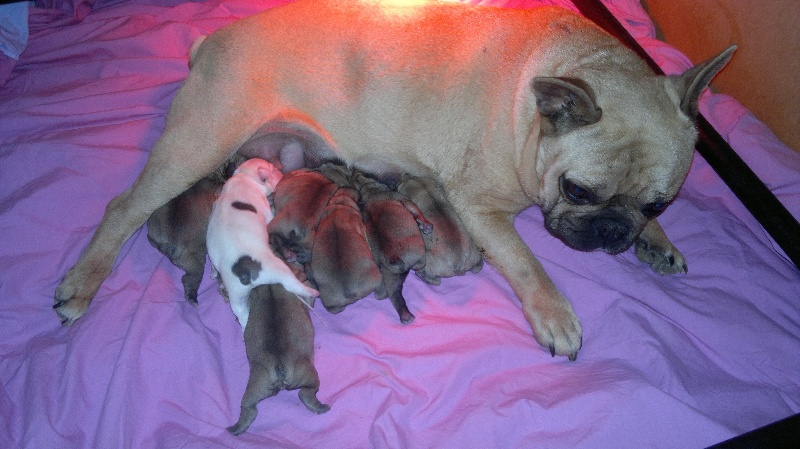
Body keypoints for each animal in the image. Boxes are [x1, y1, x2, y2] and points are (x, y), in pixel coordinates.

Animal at [206, 158, 318, 328]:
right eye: (273, 169)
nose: (282, 171)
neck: (245, 176)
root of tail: (246, 271)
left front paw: (212, 273)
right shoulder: (265, 209)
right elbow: (270, 215)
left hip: (235, 292)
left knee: (241, 312)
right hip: (279, 270)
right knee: (293, 285)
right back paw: (313, 292)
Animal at [227, 284, 330, 434]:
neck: (270, 286)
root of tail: (279, 369)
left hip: (256, 386)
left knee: (248, 407)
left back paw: (235, 428)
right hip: (308, 374)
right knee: (307, 392)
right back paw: (321, 407)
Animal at [354, 169, 434, 322]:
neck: (372, 192)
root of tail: (396, 261)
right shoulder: (404, 200)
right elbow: (417, 212)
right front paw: (426, 225)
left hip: (390, 276)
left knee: (393, 295)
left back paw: (406, 317)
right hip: (419, 256)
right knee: (420, 268)